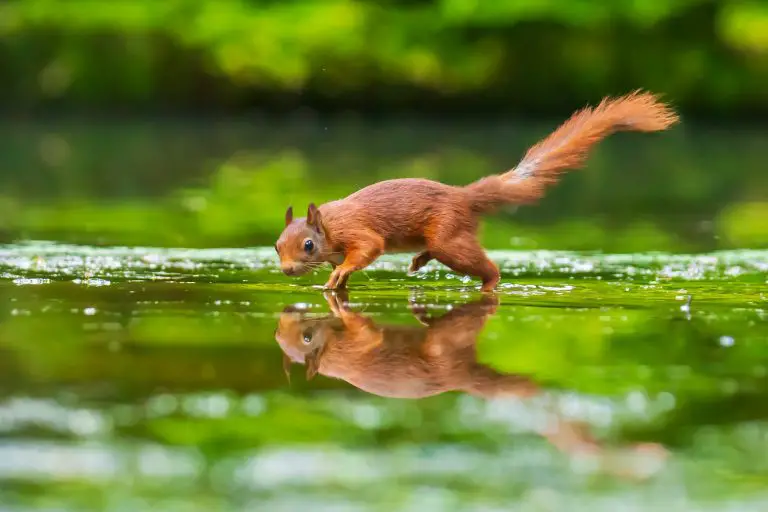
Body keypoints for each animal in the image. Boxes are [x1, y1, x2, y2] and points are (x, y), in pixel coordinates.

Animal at [274, 91, 680, 292]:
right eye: (277, 246)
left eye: (308, 245)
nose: (287, 270)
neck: (329, 227)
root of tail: (463, 196)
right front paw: (334, 282)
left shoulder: (358, 234)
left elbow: (366, 249)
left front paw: (340, 273)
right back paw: (418, 261)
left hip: (449, 238)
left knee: (486, 268)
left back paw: (490, 284)